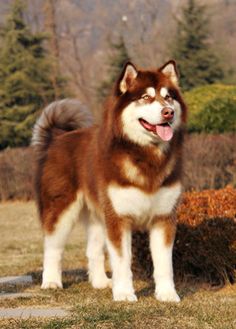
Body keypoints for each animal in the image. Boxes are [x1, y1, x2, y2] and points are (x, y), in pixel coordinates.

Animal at [31, 60, 186, 302]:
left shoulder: (163, 217)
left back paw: (101, 282)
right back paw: (51, 281)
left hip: (99, 215)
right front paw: (124, 293)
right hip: (61, 209)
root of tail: (57, 138)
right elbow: (122, 261)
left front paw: (167, 294)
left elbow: (164, 264)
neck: (145, 155)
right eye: (146, 97)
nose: (167, 112)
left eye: (168, 97)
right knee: (52, 248)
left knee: (93, 251)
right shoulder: (119, 218)